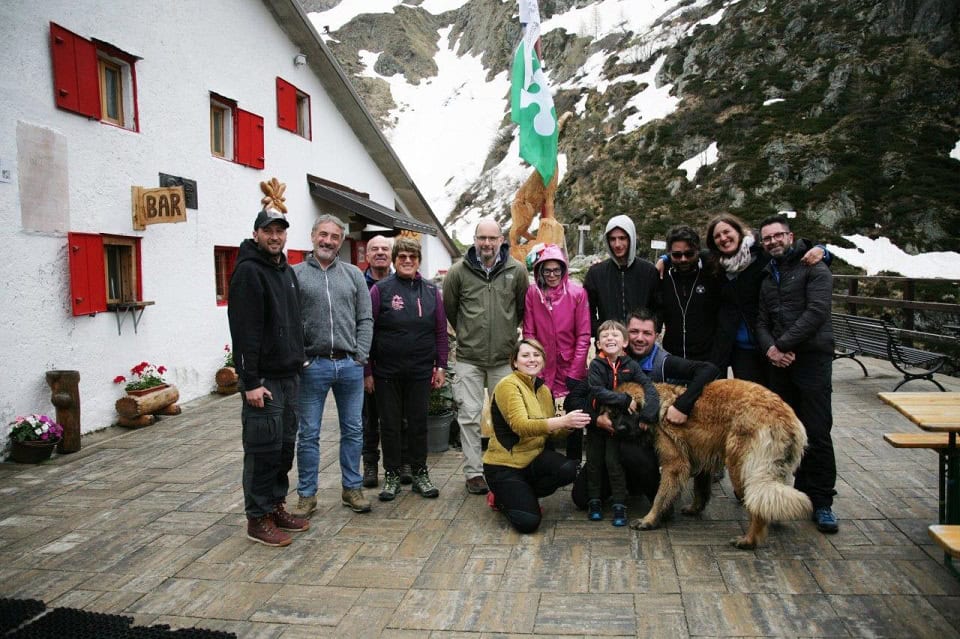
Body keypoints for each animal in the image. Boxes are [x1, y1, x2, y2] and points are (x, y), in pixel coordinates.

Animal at [612, 380, 808, 552]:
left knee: (756, 507)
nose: (619, 430)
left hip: (740, 469)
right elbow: (701, 490)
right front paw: (694, 508)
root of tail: (785, 418)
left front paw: (649, 519)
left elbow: (661, 496)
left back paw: (748, 541)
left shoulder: (675, 464)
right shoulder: (703, 459)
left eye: (630, 412)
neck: (655, 405)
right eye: (613, 414)